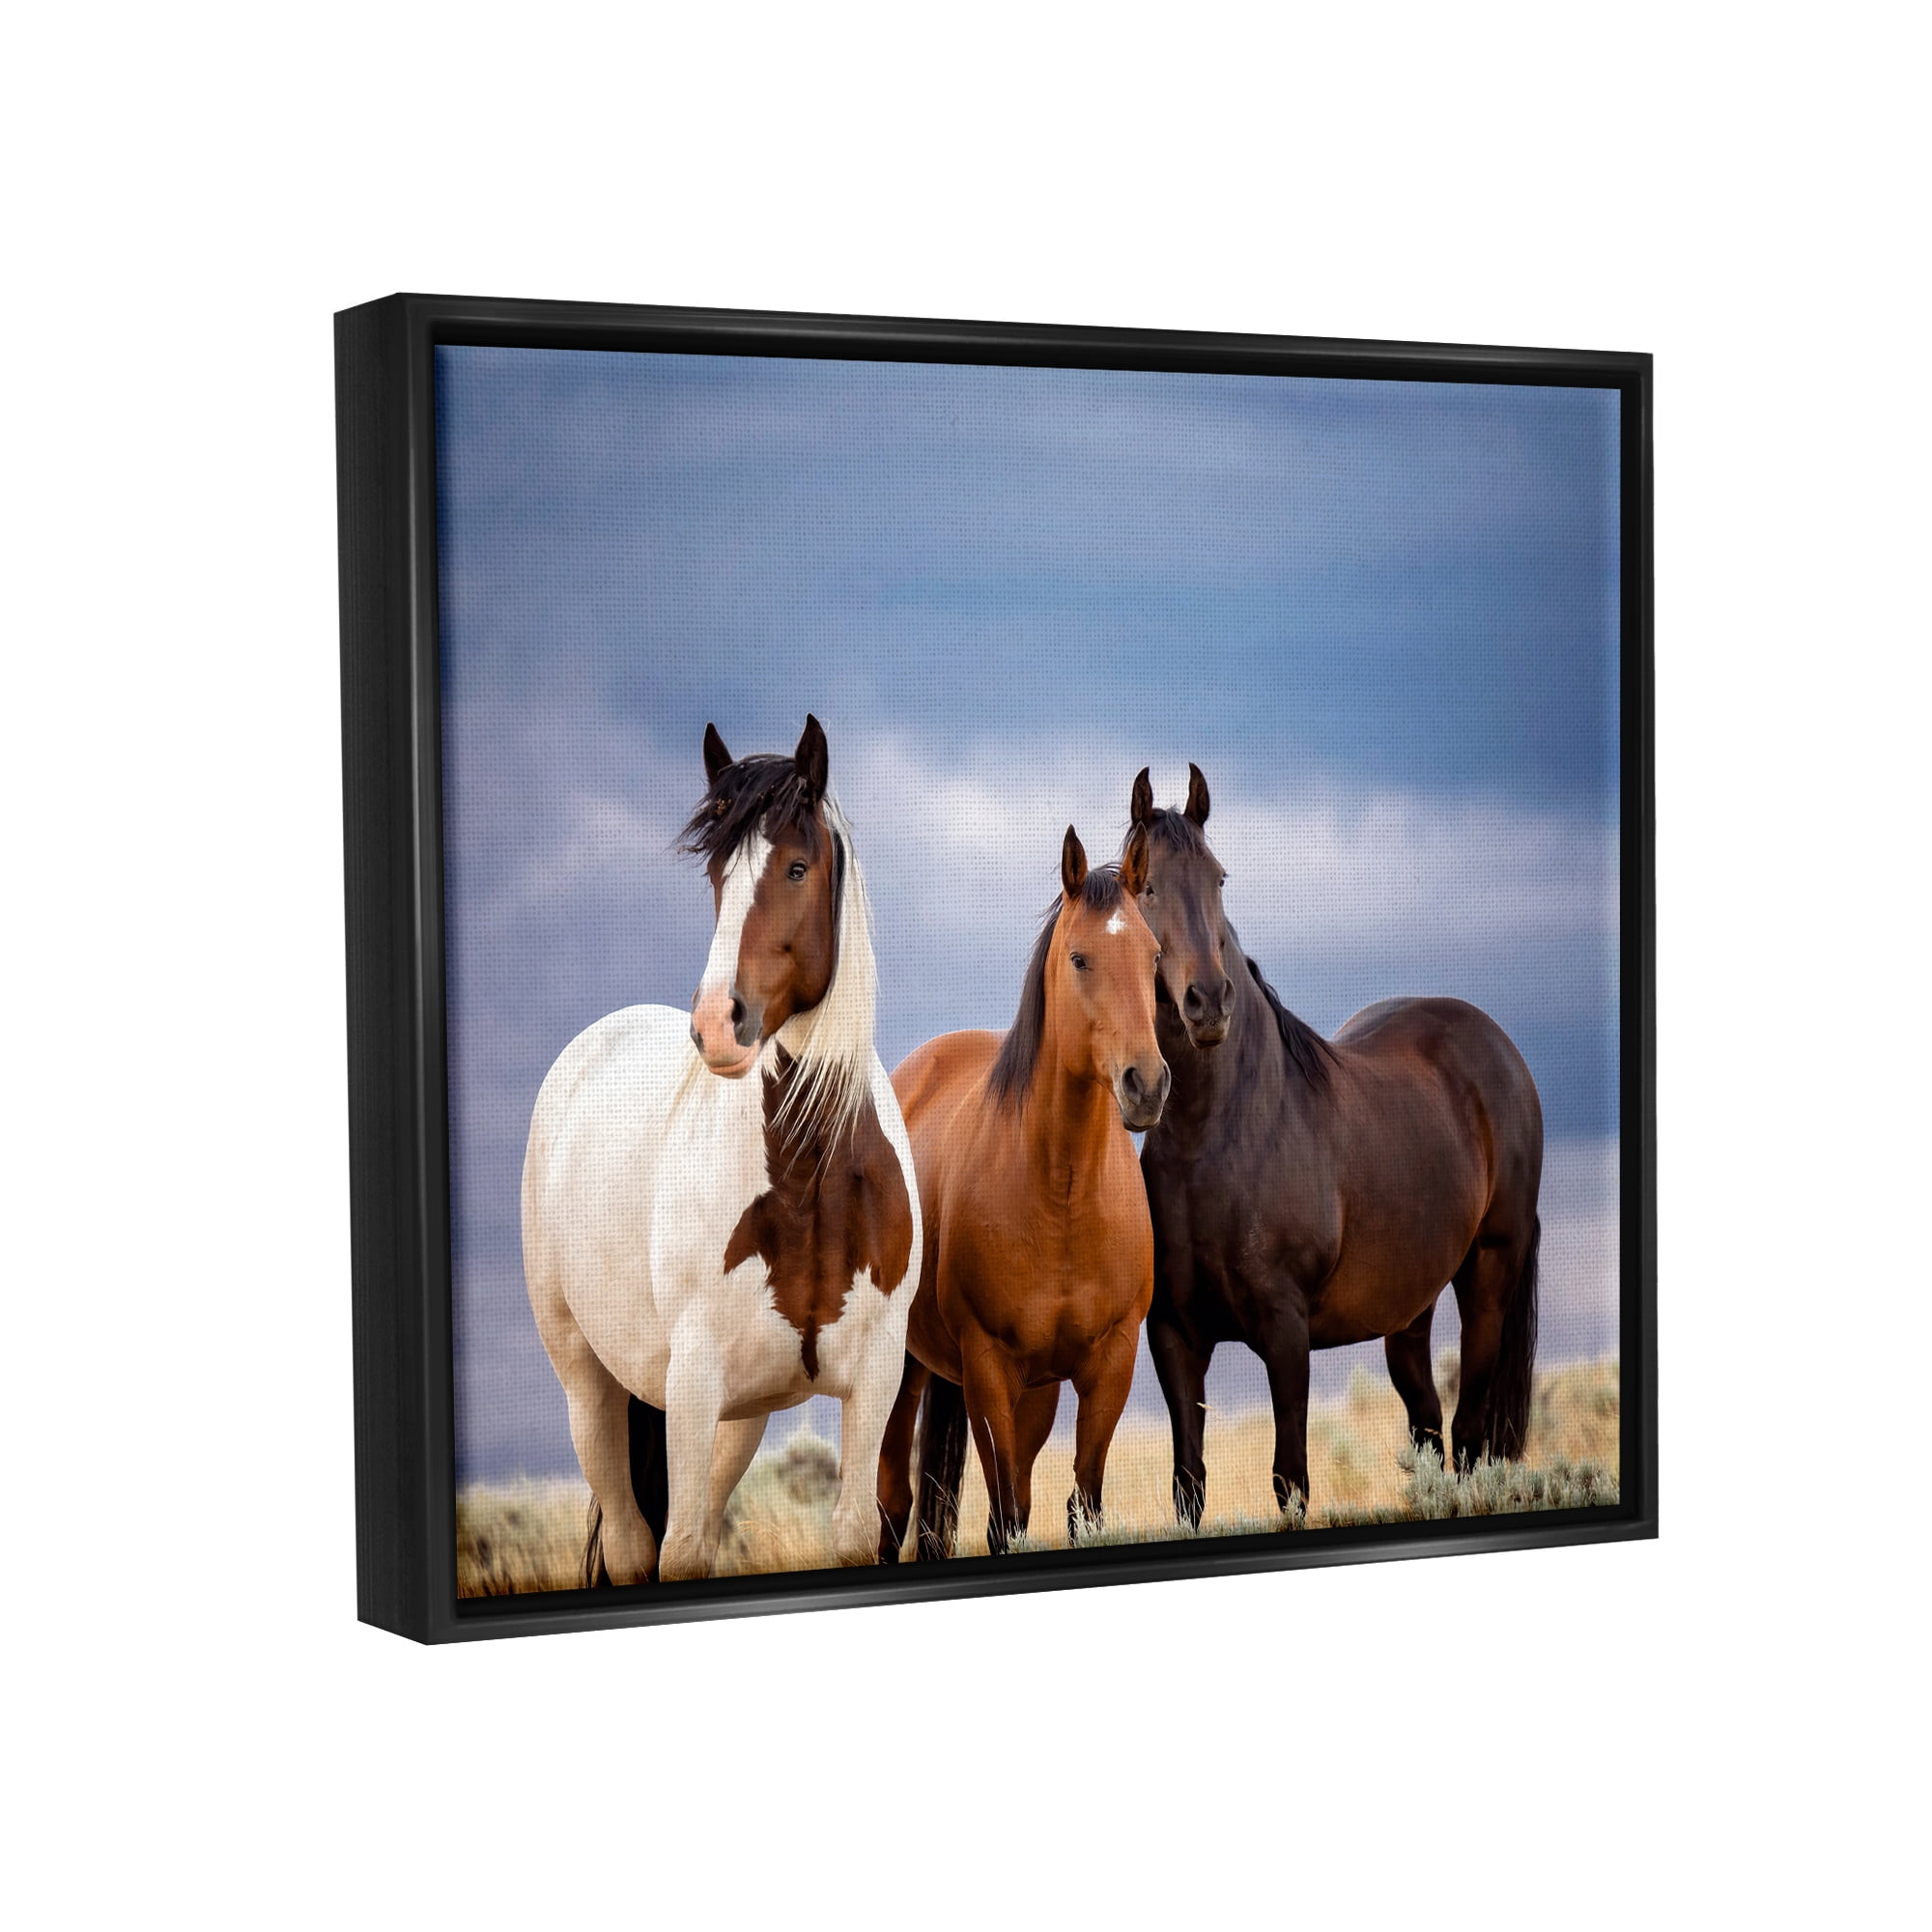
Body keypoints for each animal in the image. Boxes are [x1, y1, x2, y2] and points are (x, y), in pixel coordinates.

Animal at [520, 715, 920, 1583]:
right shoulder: (694, 1380)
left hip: (736, 1421)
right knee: (635, 1547)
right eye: (715, 874)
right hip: (591, 1388)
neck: (808, 1177)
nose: (715, 1024)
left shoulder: (875, 1377)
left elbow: (853, 1531)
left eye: (797, 867)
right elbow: (680, 1554)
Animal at [876, 822, 1169, 1560]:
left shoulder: (1109, 1364)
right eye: (1080, 958)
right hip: (904, 1370)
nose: (1147, 1085)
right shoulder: (987, 1366)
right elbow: (1004, 1519)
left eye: (1153, 956)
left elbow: (1079, 1504)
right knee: (893, 1504)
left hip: (1030, 1392)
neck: (1061, 1196)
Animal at [1128, 763, 1543, 1522]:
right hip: (1410, 1308)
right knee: (1429, 1428)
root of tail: (1497, 1047)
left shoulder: (1286, 1331)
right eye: (1145, 886)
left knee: (1470, 1436)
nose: (1210, 1002)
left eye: (1219, 879)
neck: (1218, 1138)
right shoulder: (1174, 1334)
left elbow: (1291, 1479)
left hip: (1489, 1273)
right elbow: (1189, 1484)